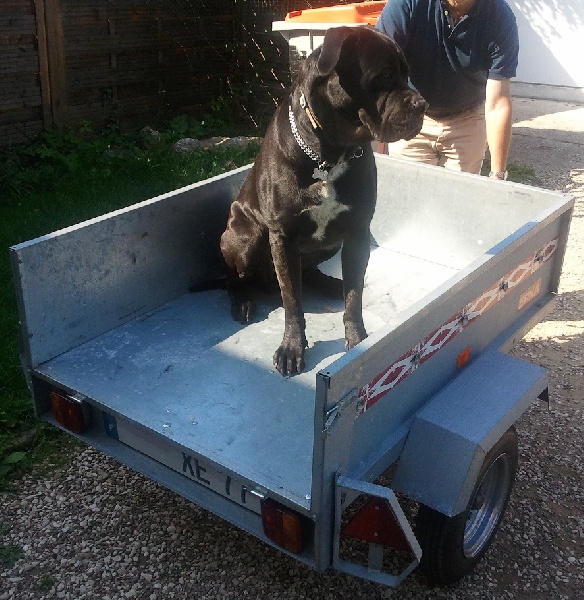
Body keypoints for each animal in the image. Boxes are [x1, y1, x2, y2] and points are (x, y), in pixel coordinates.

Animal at [220, 26, 427, 377]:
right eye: (386, 75)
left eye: (407, 74)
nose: (422, 104)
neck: (330, 153)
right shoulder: (282, 236)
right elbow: (292, 301)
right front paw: (292, 347)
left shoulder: (357, 232)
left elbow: (354, 294)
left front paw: (357, 339)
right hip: (245, 237)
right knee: (235, 277)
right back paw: (243, 301)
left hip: (331, 243)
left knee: (312, 272)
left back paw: (330, 284)